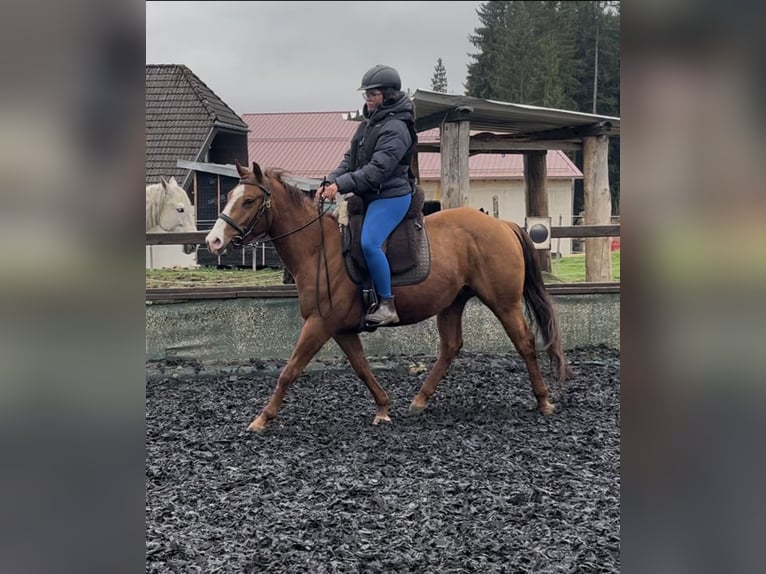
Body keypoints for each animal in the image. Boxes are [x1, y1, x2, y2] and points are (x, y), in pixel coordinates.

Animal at [205, 160, 571, 432]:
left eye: (248, 201)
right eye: (229, 197)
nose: (213, 241)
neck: (318, 249)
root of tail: (503, 224)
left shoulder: (319, 324)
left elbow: (290, 370)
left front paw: (262, 418)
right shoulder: (341, 328)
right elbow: (362, 367)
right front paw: (383, 408)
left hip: (504, 302)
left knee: (524, 342)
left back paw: (543, 400)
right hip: (452, 303)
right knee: (450, 347)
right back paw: (420, 400)